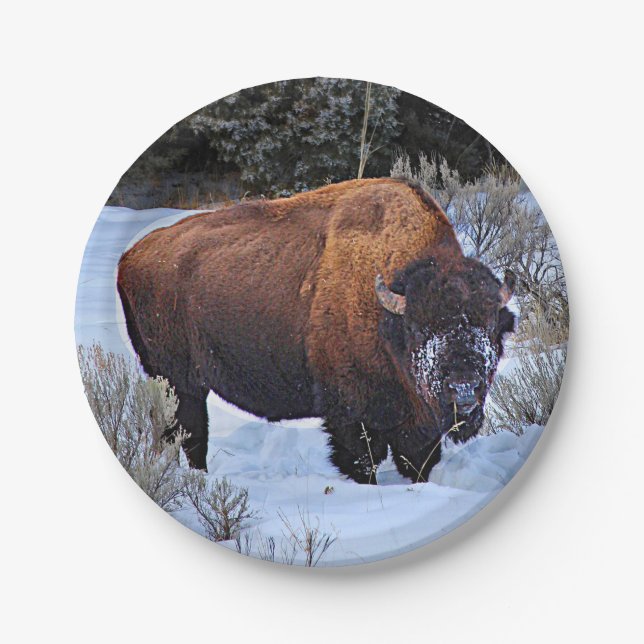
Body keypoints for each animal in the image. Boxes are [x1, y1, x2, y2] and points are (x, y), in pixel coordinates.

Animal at [117, 178, 515, 483]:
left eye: (491, 325)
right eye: (418, 328)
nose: (463, 390)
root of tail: (132, 256)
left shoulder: (417, 426)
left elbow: (418, 461)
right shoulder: (351, 416)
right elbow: (361, 462)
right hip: (176, 381)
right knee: (188, 432)